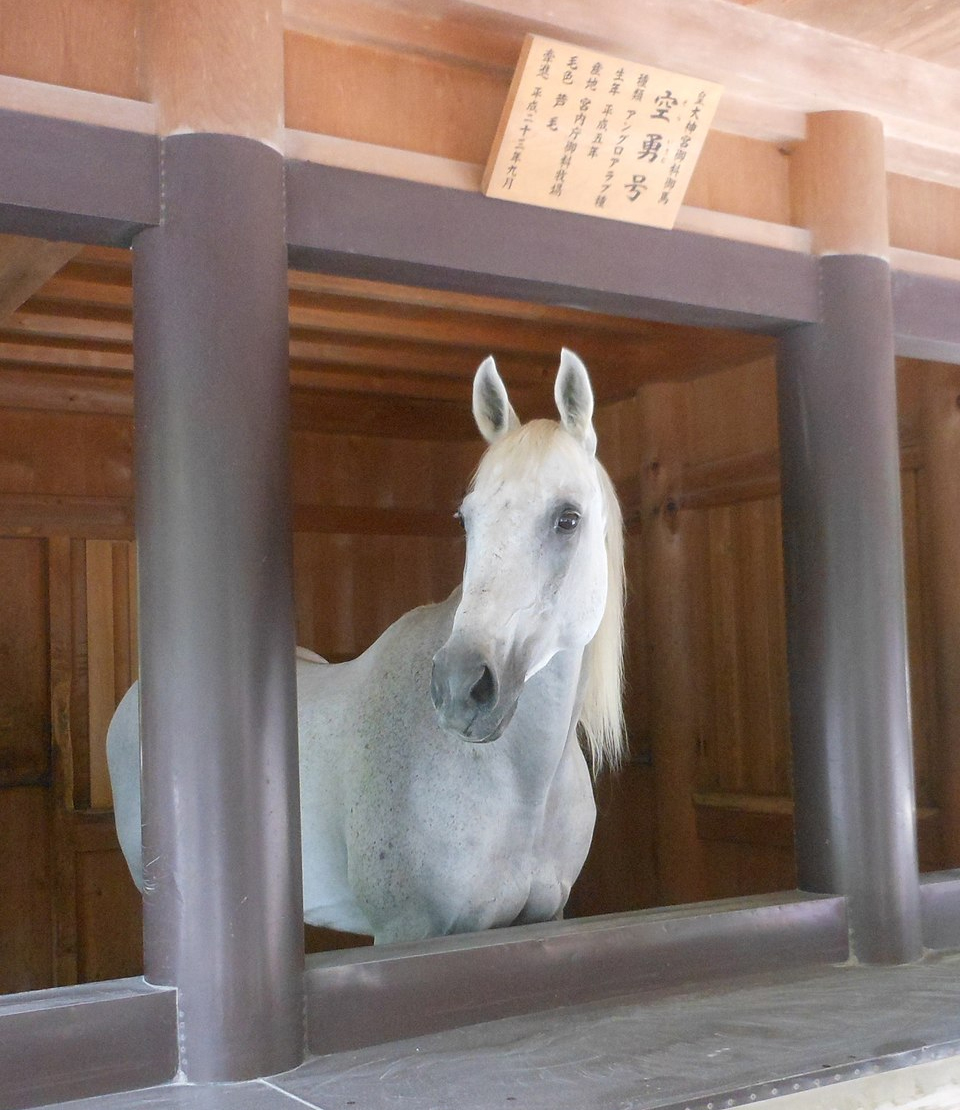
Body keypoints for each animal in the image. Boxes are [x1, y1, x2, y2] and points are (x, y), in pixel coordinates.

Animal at [107, 348, 625, 945]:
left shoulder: (546, 917)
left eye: (568, 518)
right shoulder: (407, 931)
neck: (522, 784)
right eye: (465, 519)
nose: (460, 688)